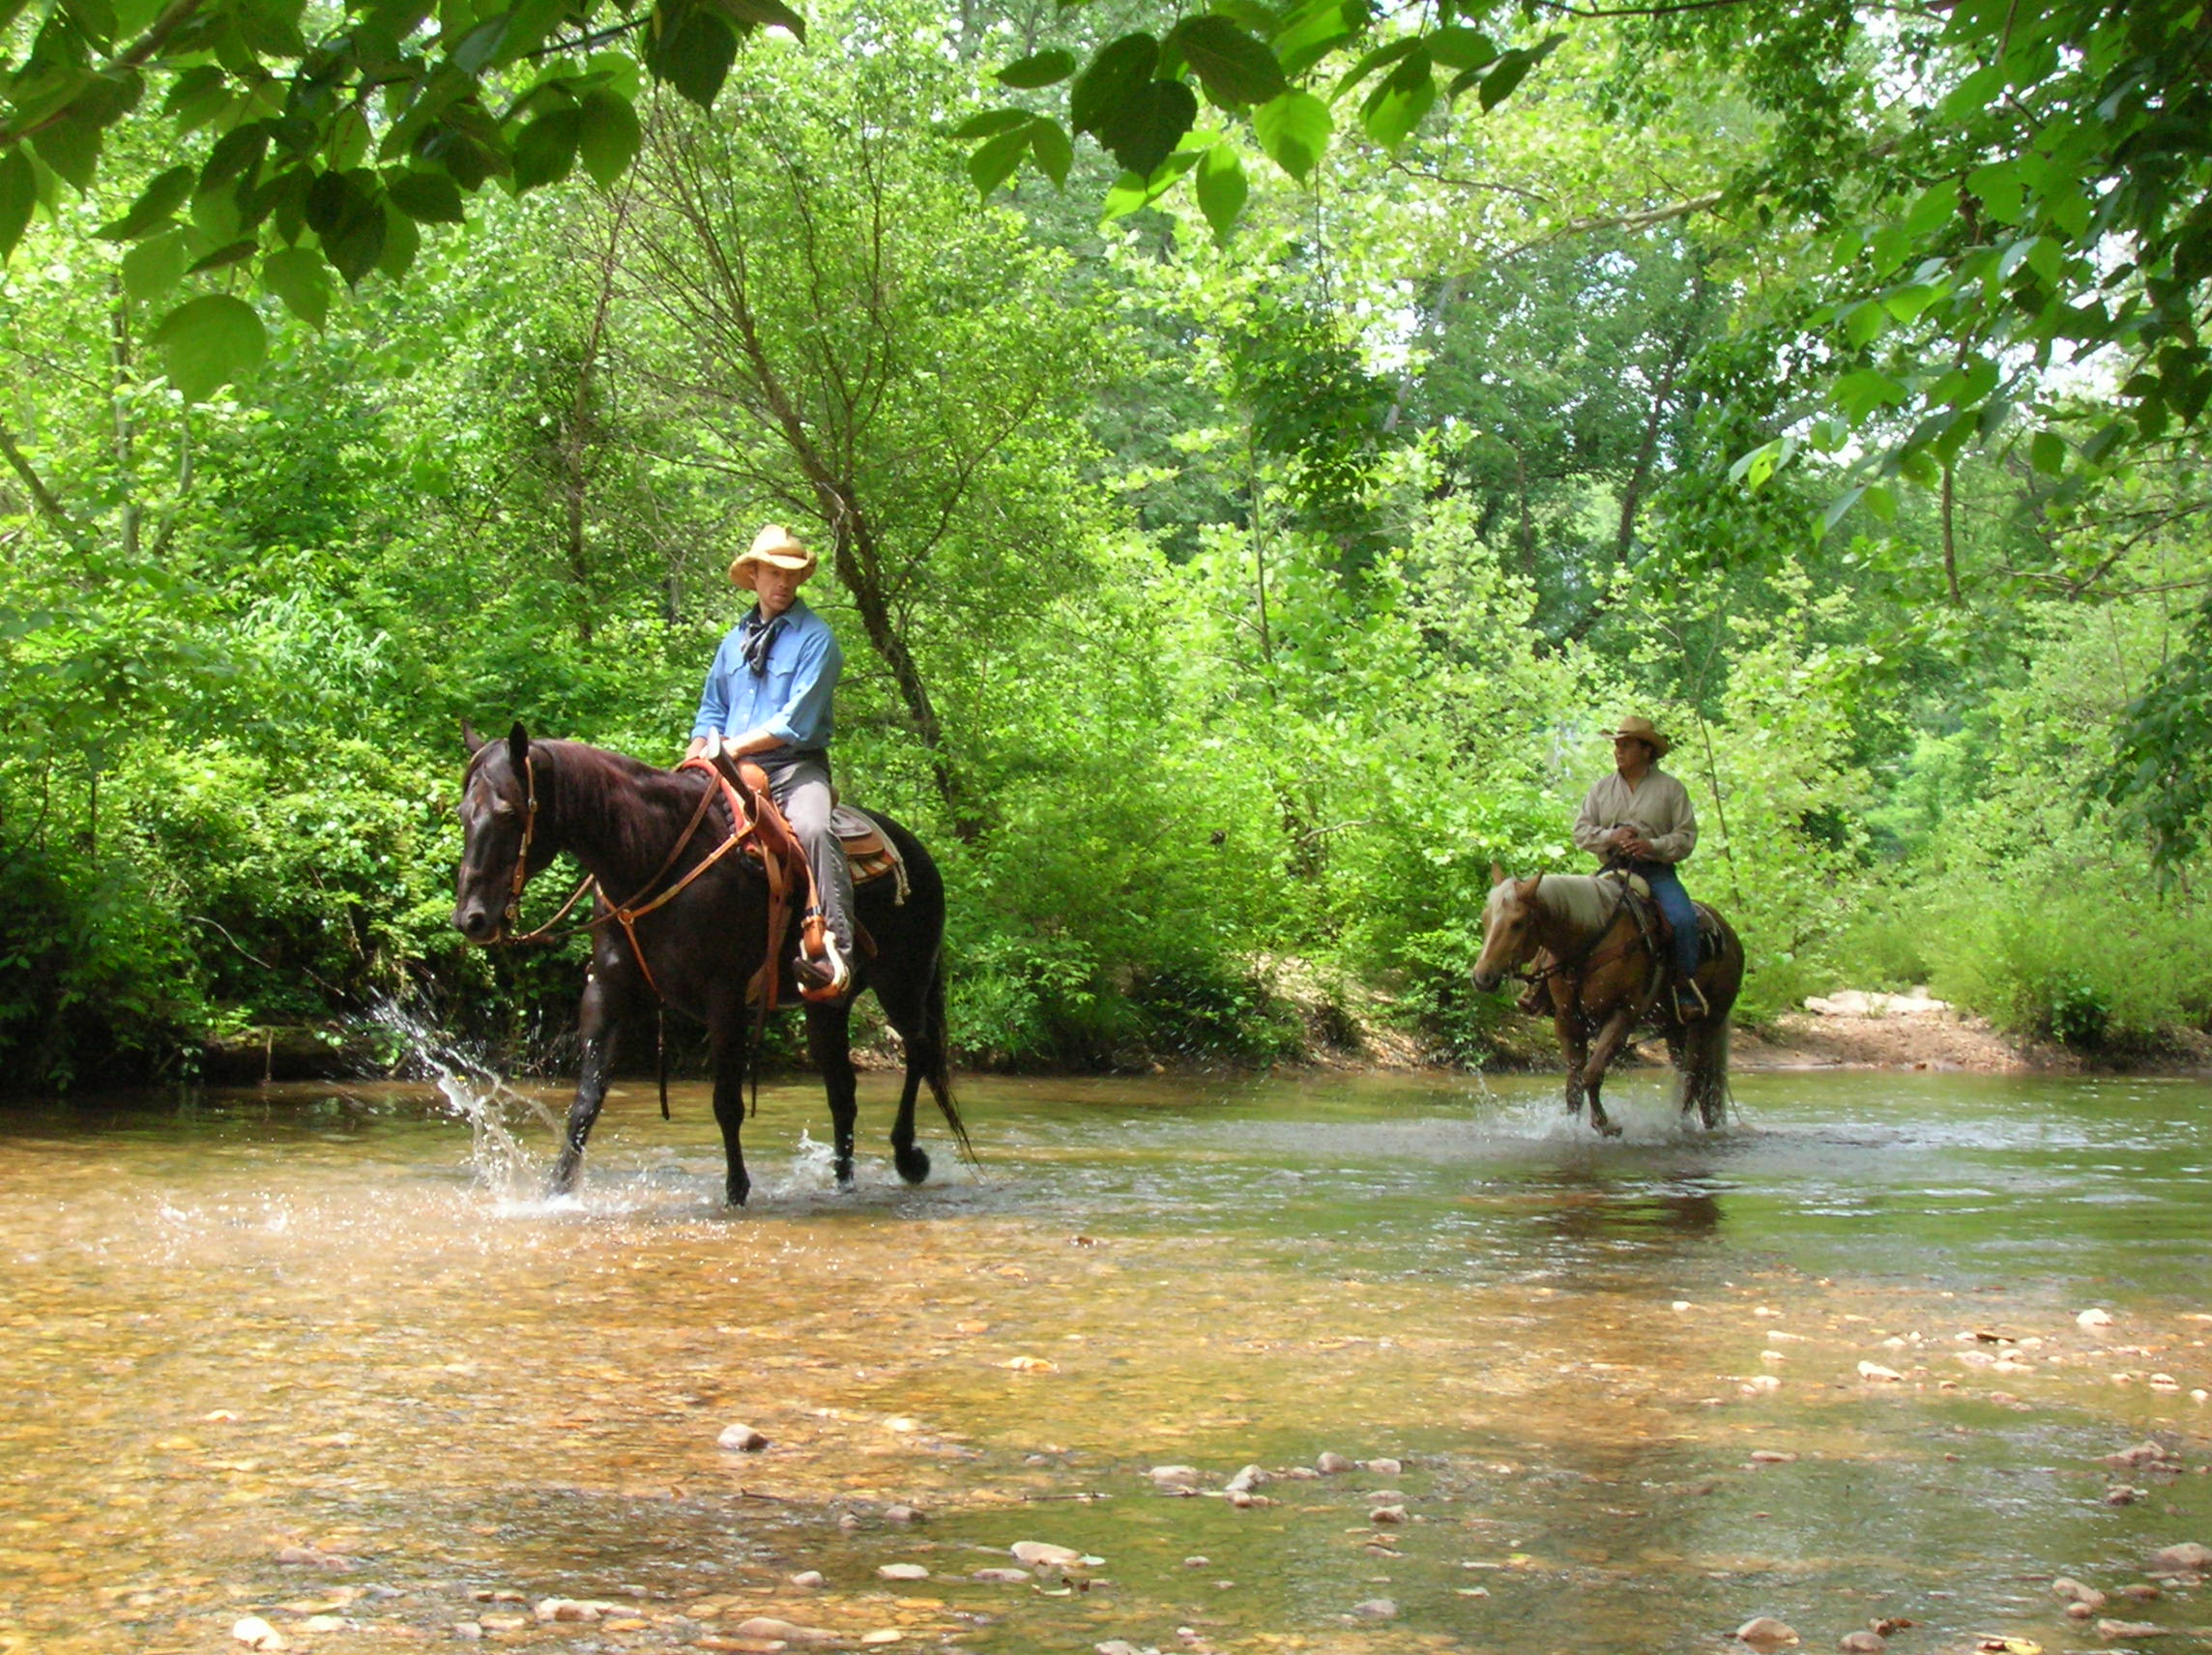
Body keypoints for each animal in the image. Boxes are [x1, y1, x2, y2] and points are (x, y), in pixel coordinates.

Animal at [451, 725, 969, 1204]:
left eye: (508, 812)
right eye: (462, 813)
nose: (471, 918)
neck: (654, 855)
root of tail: (920, 852)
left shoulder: (725, 996)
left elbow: (726, 1102)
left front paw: (736, 1191)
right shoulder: (608, 990)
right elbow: (586, 1101)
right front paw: (556, 1191)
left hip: (903, 983)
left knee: (920, 1054)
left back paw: (908, 1156)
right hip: (827, 1006)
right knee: (842, 1089)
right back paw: (843, 1181)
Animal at [1469, 867, 1742, 1142]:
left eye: (1517, 923)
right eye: (1485, 918)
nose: (1482, 977)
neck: (1588, 943)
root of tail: (1729, 933)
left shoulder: (1622, 1015)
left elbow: (1592, 1073)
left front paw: (1605, 1125)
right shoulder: (1568, 1020)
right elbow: (1574, 1084)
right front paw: (1571, 1128)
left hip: (1708, 1023)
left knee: (1696, 1077)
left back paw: (1680, 1126)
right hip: (1675, 1029)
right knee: (1691, 1076)